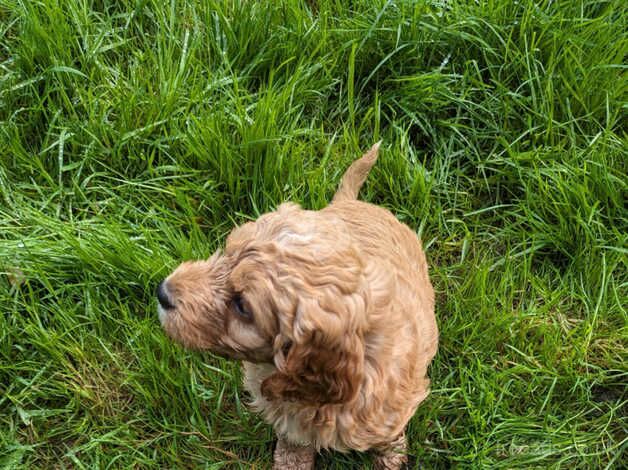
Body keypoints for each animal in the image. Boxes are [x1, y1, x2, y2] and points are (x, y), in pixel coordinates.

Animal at [158, 144, 436, 470]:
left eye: (242, 306)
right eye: (225, 252)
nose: (162, 291)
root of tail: (350, 202)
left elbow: (388, 437)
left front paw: (391, 456)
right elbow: (294, 438)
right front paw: (291, 460)